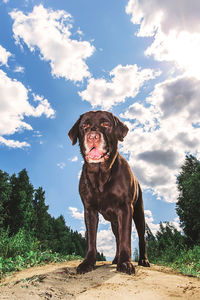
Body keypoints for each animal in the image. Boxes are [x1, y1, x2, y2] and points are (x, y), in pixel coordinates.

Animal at [68, 110, 149, 274]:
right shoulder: (89, 210)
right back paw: (116, 258)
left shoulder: (125, 208)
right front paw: (88, 263)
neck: (101, 176)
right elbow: (91, 239)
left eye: (106, 124)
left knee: (141, 237)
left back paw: (143, 260)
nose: (92, 136)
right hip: (114, 222)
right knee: (117, 238)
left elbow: (126, 238)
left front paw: (125, 263)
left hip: (139, 213)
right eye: (84, 126)